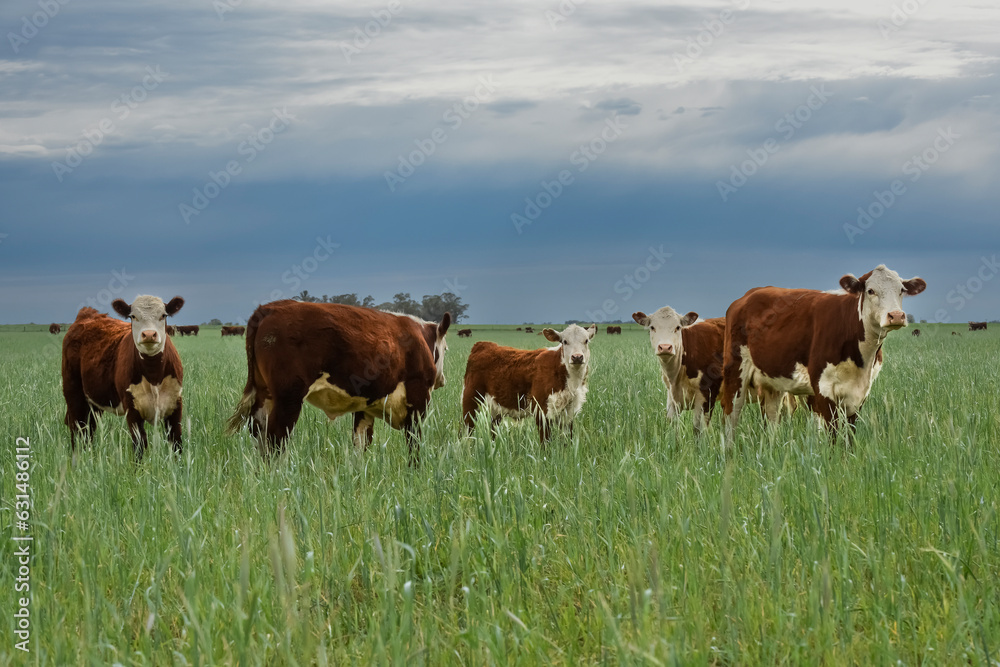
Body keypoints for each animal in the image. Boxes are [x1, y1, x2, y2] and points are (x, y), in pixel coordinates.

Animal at [61, 296, 187, 460]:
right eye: (133, 316)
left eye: (163, 315)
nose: (149, 334)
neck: (154, 376)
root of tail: (87, 315)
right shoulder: (132, 408)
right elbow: (139, 445)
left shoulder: (176, 404)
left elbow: (176, 442)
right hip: (73, 394)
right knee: (77, 429)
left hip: (94, 403)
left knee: (89, 431)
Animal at [229, 300, 452, 462]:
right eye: (447, 349)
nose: (443, 379)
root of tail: (269, 308)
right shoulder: (418, 400)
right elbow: (414, 444)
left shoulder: (365, 407)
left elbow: (361, 443)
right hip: (288, 398)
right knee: (276, 439)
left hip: (264, 394)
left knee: (258, 431)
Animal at [464, 324, 596, 444]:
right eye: (564, 341)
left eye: (586, 341)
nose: (577, 357)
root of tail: (484, 344)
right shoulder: (541, 410)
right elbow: (545, 442)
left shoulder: (569, 411)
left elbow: (568, 439)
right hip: (470, 399)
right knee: (466, 429)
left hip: (496, 407)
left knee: (493, 430)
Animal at [724, 266, 924, 438]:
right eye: (870, 291)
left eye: (901, 290)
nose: (896, 316)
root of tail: (747, 296)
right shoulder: (824, 389)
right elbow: (832, 434)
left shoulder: (860, 392)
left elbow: (849, 435)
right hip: (735, 374)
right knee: (731, 417)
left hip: (773, 383)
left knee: (771, 422)